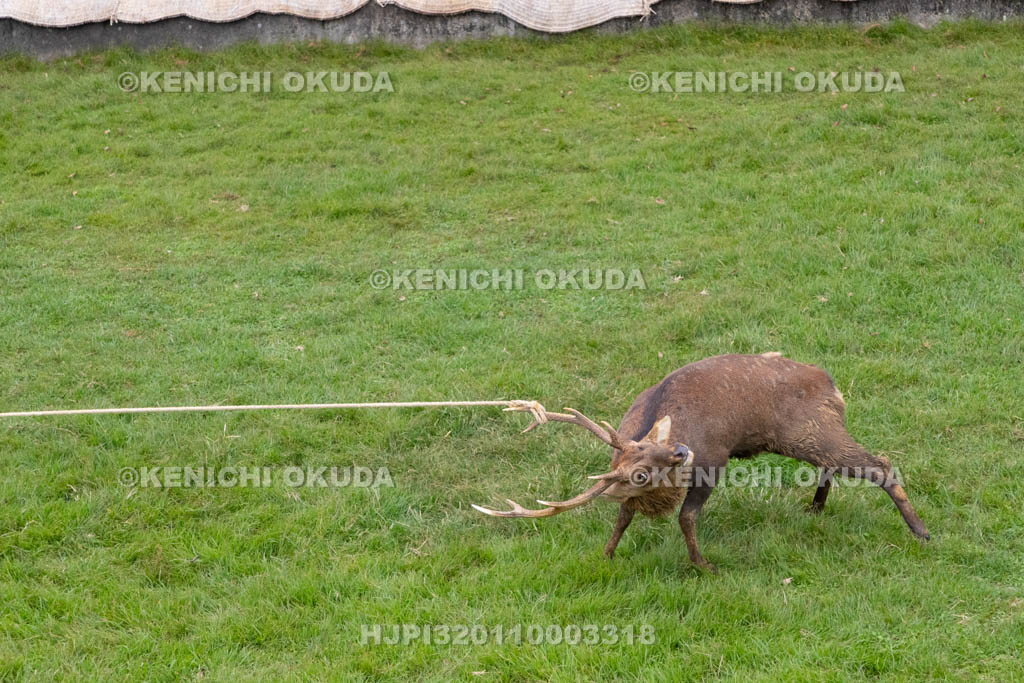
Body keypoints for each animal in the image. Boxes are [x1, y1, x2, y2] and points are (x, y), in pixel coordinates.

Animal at [473, 353, 930, 571]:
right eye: (639, 472)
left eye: (658, 450)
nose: (680, 451)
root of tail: (832, 384)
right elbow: (622, 515)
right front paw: (607, 554)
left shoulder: (713, 459)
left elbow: (686, 517)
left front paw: (704, 565)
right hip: (809, 437)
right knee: (832, 465)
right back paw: (816, 507)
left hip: (809, 431)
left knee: (880, 463)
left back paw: (921, 531)